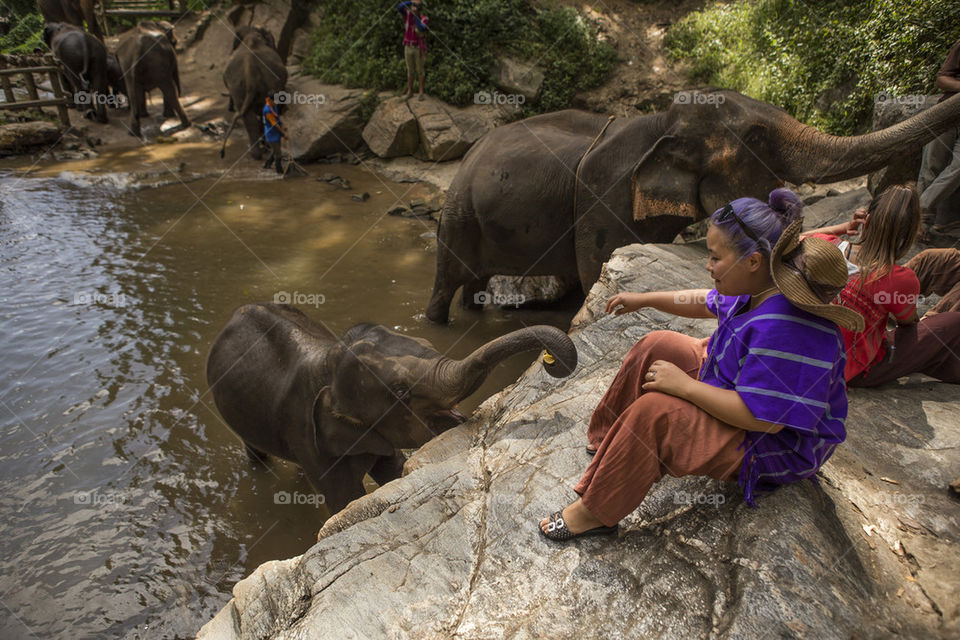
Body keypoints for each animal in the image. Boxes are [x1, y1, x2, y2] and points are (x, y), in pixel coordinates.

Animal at [205, 302, 572, 516]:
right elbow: (344, 499)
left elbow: (393, 469)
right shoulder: (307, 433)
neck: (328, 363)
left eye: (426, 344)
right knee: (255, 451)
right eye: (400, 393)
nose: (551, 359)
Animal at [219, 26, 286, 162]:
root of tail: (251, 72)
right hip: (267, 82)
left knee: (249, 117)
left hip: (238, 87)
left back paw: (256, 153)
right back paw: (262, 150)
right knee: (259, 114)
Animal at [428, 87, 960, 322]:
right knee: (445, 282)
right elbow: (594, 268)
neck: (658, 120)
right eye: (757, 137)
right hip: (457, 215)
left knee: (473, 285)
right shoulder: (603, 199)